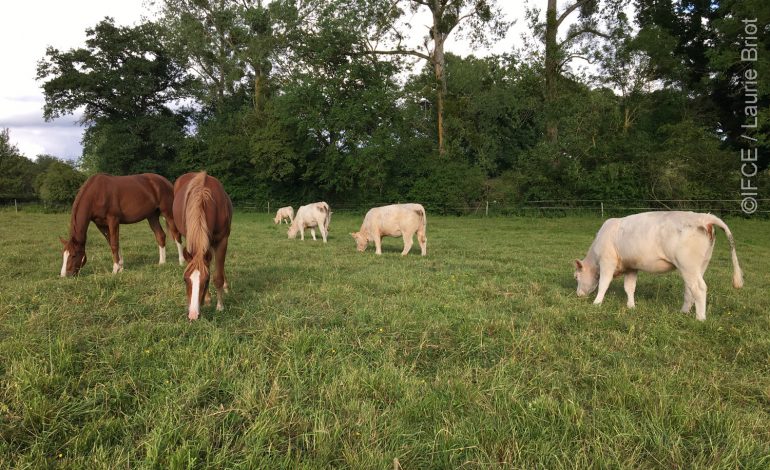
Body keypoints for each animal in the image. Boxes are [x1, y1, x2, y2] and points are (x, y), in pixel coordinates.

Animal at [172, 171, 232, 322]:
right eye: (185, 279)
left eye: (206, 280)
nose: (193, 315)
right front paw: (208, 299)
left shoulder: (222, 240)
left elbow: (218, 276)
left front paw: (220, 306)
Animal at [572, 211, 740, 322]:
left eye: (576, 277)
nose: (578, 294)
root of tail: (704, 217)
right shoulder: (632, 266)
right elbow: (629, 287)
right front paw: (631, 306)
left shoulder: (607, 261)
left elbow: (604, 284)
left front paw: (596, 303)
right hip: (699, 266)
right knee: (689, 288)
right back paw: (683, 312)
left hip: (688, 266)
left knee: (699, 288)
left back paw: (700, 318)